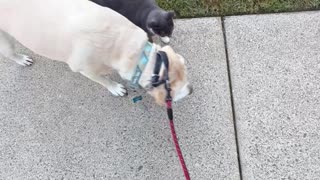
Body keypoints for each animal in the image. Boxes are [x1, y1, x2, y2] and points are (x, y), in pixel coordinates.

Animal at [0, 0, 192, 105]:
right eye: (172, 90)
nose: (191, 90)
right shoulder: (85, 69)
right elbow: (103, 80)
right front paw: (115, 88)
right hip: (5, 41)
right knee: (10, 53)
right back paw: (21, 59)